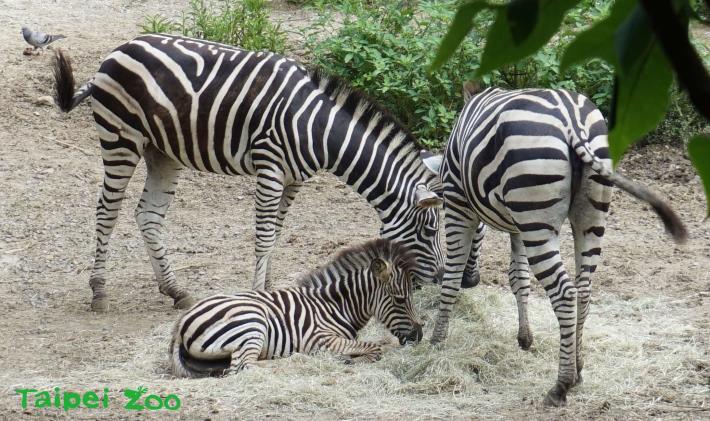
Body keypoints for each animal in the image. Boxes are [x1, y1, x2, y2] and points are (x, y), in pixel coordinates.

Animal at [52, 33, 444, 312]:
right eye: (429, 231)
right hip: (121, 138)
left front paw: (270, 287)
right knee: (107, 211)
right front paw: (259, 295)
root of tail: (119, 49)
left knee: (148, 215)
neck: (317, 128)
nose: (441, 277)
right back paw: (99, 292)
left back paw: (175, 291)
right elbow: (264, 235)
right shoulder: (270, 166)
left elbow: (278, 231)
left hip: (162, 151)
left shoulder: (294, 179)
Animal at [170, 236, 422, 378]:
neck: (336, 305)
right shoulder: (321, 338)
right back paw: (290, 362)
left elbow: (379, 344)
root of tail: (179, 325)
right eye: (400, 299)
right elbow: (374, 349)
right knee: (243, 367)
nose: (419, 336)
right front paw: (348, 359)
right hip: (252, 324)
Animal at [422, 83, 688, 406]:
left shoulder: (458, 205)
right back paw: (578, 368)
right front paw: (524, 338)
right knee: (584, 289)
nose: (472, 282)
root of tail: (572, 120)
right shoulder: (517, 225)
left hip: (537, 216)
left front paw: (437, 340)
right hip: (587, 216)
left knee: (564, 293)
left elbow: (451, 274)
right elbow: (518, 279)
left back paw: (561, 385)